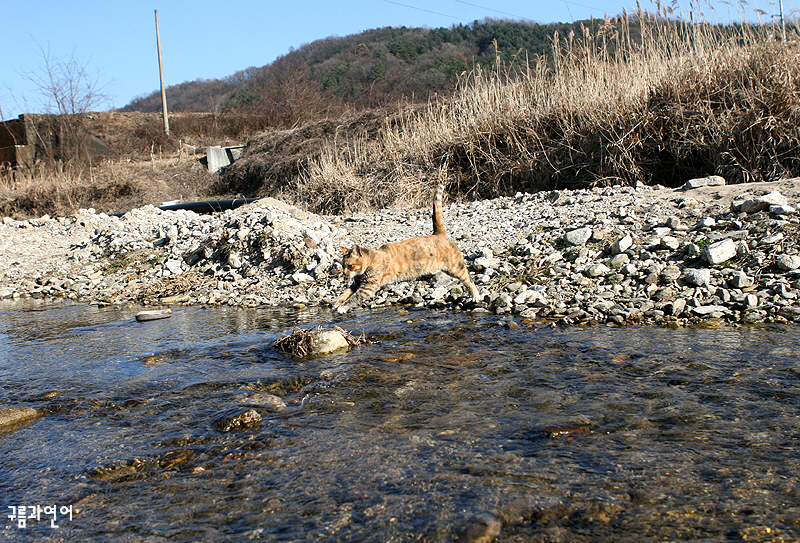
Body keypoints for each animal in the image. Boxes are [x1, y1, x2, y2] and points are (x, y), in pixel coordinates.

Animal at [334, 186, 478, 314]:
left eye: (350, 266)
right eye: (343, 266)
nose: (344, 274)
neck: (370, 261)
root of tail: (438, 234)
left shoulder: (367, 287)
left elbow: (354, 298)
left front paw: (342, 307)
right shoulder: (356, 284)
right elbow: (345, 293)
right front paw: (337, 304)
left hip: (455, 267)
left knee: (469, 279)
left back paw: (475, 295)